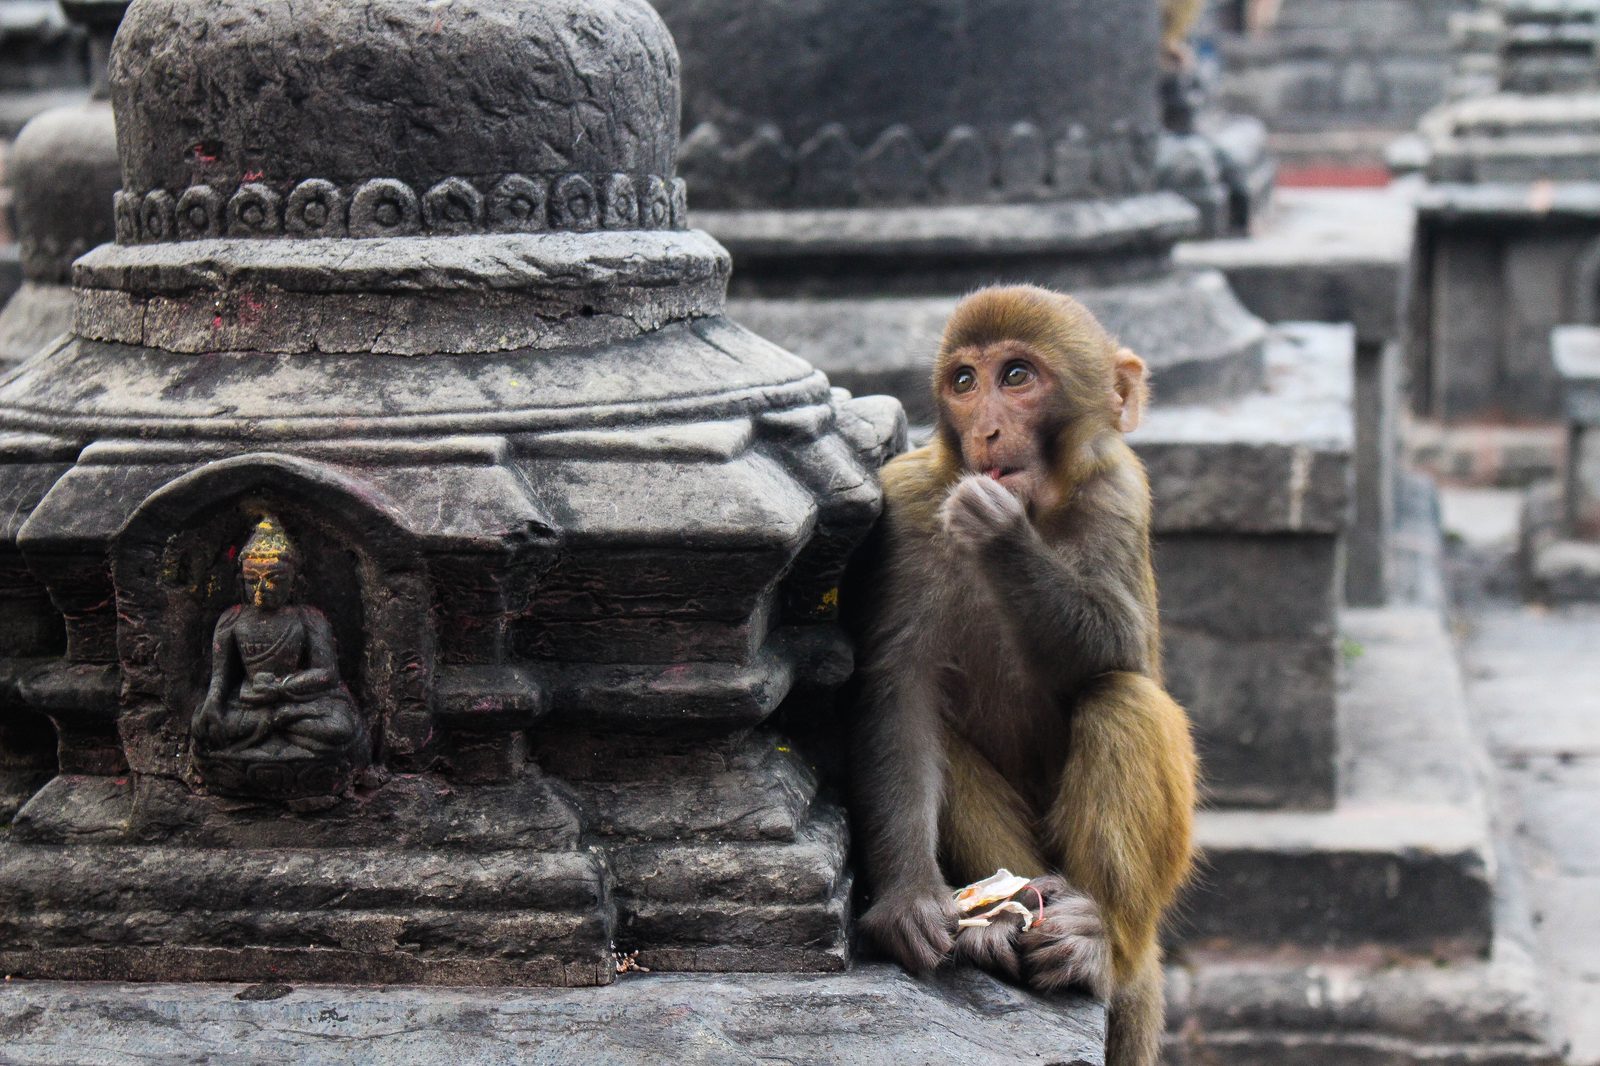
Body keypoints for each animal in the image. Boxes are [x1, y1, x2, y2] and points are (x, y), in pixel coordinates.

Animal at [850, 285, 1197, 1066]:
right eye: (964, 381)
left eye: (1016, 377)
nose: (985, 430)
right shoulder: (909, 508)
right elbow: (901, 691)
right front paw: (910, 900)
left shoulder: (1119, 490)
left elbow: (1122, 646)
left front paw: (1000, 535)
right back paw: (999, 924)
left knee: (1123, 699)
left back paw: (1098, 945)